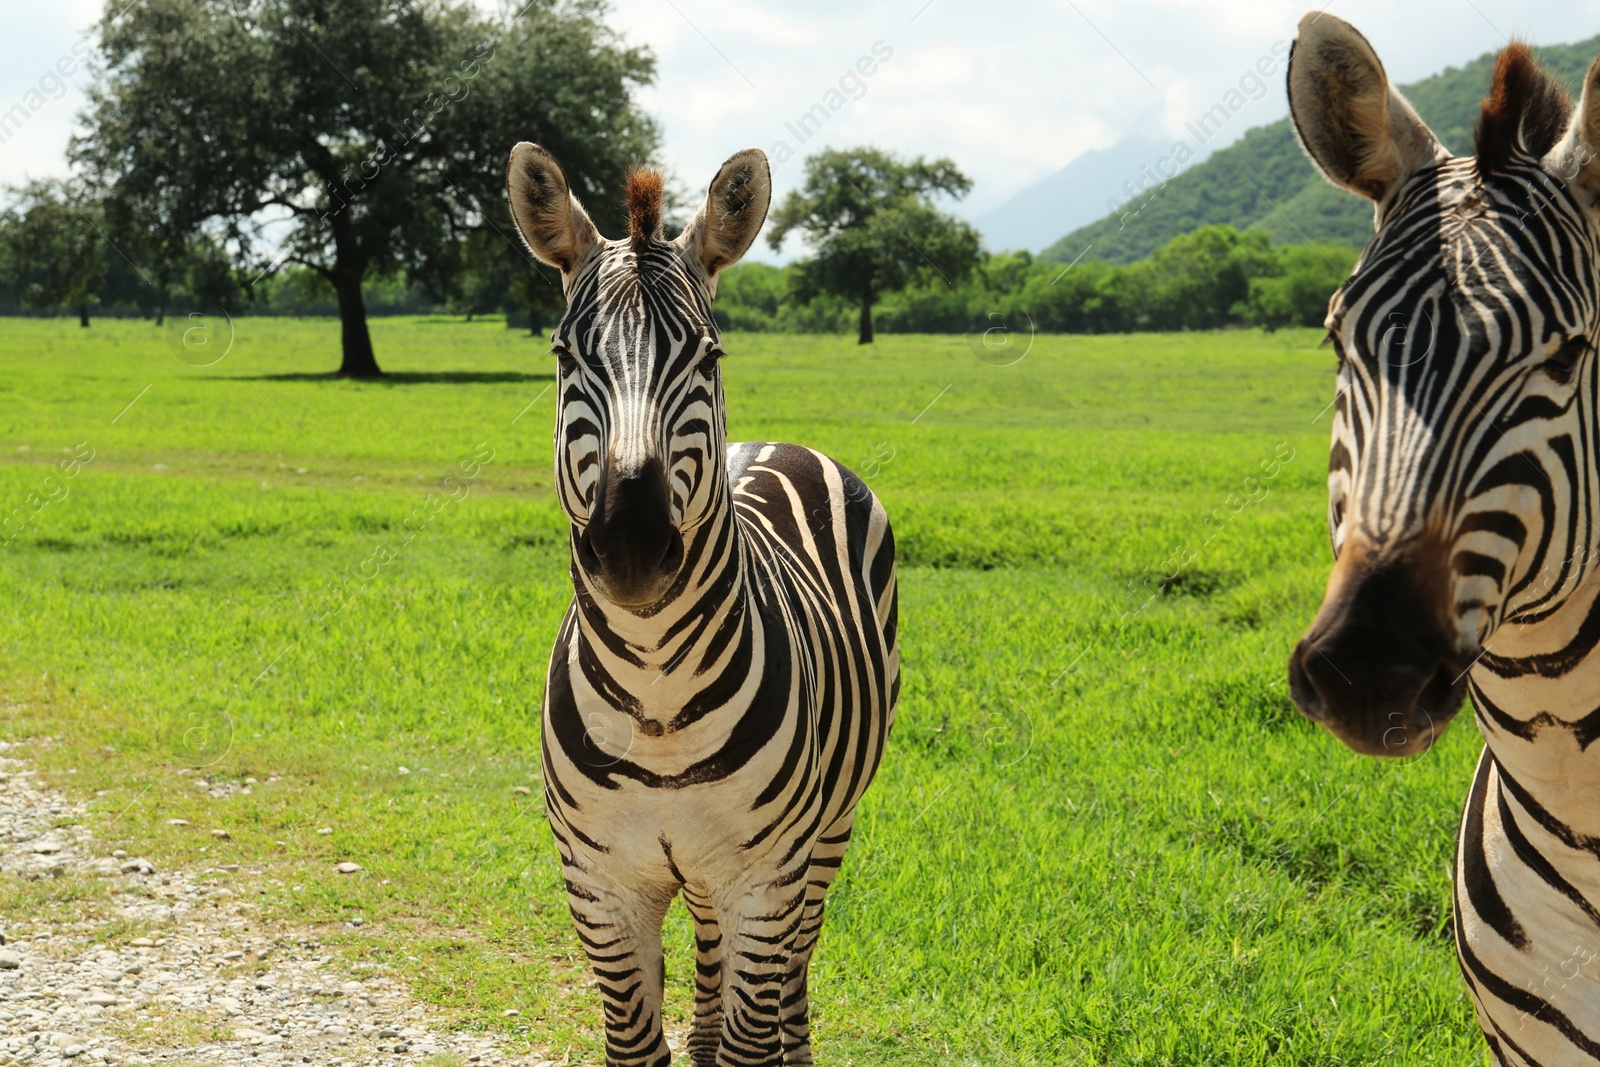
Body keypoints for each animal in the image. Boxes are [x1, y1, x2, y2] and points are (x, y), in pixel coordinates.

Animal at [502, 143, 902, 1067]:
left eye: (709, 359)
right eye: (564, 355)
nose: (632, 546)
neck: (656, 696)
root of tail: (780, 443)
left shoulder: (766, 876)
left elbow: (756, 1036)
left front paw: (753, 1046)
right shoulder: (600, 885)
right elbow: (636, 1046)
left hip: (828, 830)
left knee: (799, 958)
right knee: (715, 945)